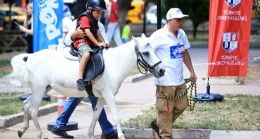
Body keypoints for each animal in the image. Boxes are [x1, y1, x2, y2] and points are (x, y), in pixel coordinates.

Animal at [10, 34, 165, 139]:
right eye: (146, 53)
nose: (162, 70)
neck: (113, 65)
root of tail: (30, 57)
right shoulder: (109, 96)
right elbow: (116, 117)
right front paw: (120, 136)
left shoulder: (102, 98)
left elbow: (96, 116)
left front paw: (90, 134)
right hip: (39, 90)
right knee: (33, 111)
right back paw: (40, 134)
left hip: (43, 89)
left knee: (26, 104)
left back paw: (22, 130)